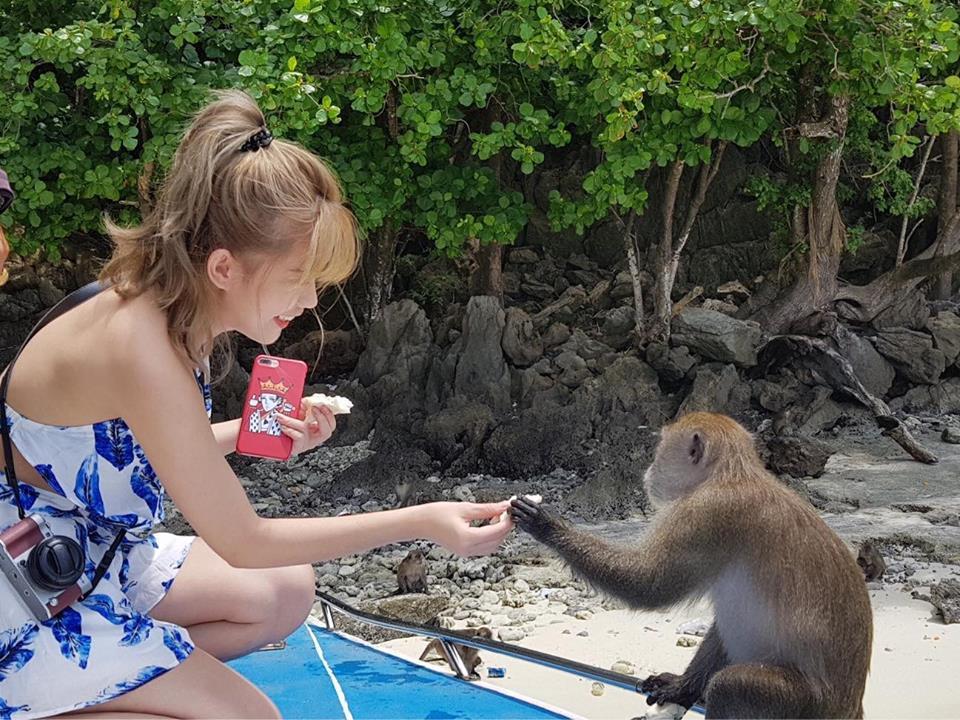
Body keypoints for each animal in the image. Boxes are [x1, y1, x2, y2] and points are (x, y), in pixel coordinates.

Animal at [510, 412, 872, 719]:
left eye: (660, 450)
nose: (649, 469)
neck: (733, 474)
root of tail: (850, 708)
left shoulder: (704, 514)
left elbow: (648, 585)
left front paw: (547, 525)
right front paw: (681, 688)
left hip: (803, 706)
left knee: (731, 687)